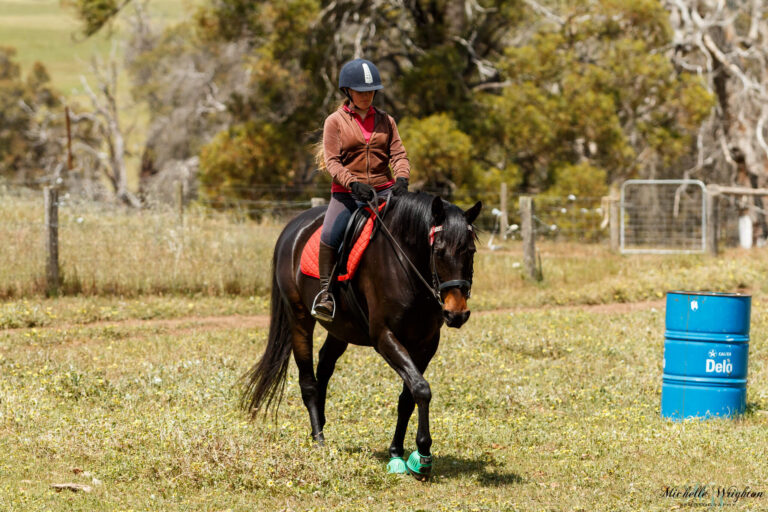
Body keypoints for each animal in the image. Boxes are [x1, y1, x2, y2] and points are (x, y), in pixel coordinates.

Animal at [242, 192, 480, 480]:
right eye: (439, 251)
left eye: (471, 251)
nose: (457, 314)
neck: (405, 264)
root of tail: (293, 228)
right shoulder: (384, 337)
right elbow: (421, 389)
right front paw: (422, 456)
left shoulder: (426, 343)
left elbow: (408, 396)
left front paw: (397, 453)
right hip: (299, 319)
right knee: (308, 381)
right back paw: (319, 439)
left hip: (340, 328)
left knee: (325, 366)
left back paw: (321, 425)